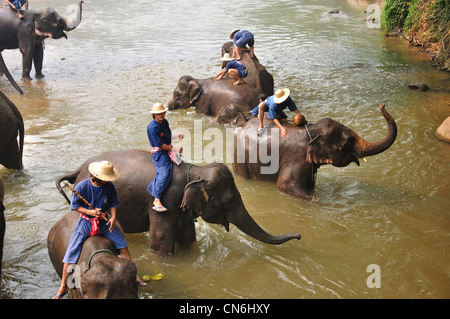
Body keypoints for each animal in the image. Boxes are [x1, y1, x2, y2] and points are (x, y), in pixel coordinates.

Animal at [56, 150, 302, 255]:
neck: (195, 171)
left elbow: (187, 235)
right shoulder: (163, 200)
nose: (300, 235)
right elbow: (160, 240)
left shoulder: (181, 205)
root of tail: (78, 169)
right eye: (228, 202)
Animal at [234, 104, 396, 199]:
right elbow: (285, 185)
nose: (382, 105)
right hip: (240, 156)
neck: (312, 131)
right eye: (348, 143)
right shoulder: (296, 158)